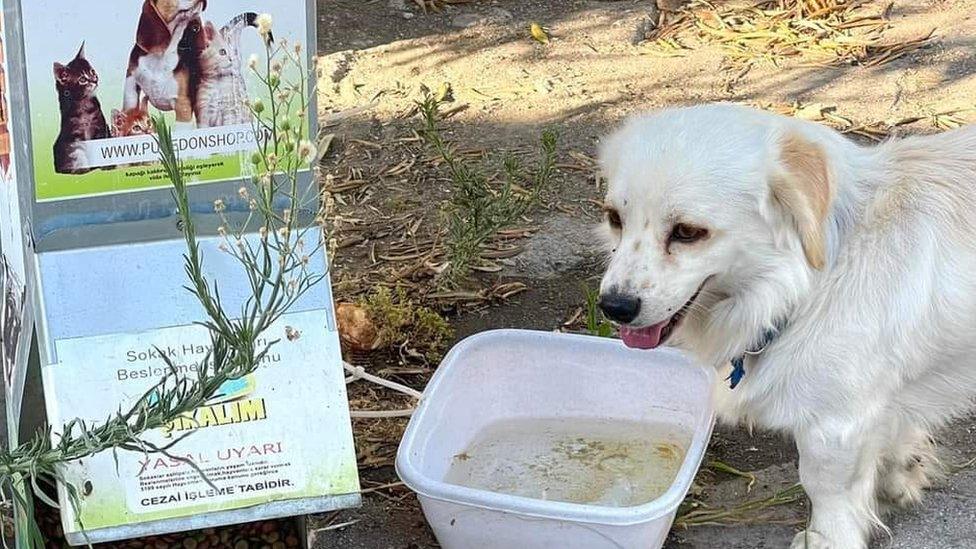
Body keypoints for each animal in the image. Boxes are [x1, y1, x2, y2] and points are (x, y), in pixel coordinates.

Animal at [596, 104, 976, 548]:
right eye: (614, 218)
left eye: (688, 232)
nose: (614, 307)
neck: (804, 287)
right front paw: (902, 473)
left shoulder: (834, 425)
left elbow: (822, 486)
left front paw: (827, 538)